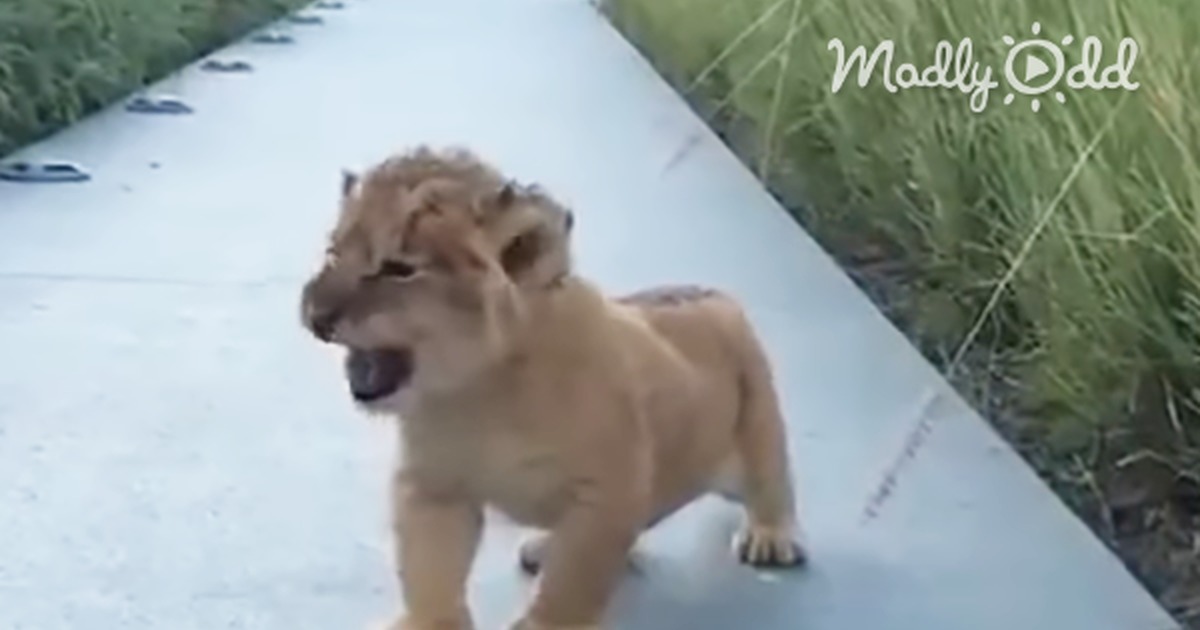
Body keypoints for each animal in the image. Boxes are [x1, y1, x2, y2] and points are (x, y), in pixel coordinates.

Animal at [298, 146, 807, 630]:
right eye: (334, 252)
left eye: (399, 269)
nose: (317, 318)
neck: (479, 393)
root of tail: (707, 291)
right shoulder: (432, 485)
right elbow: (429, 567)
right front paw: (429, 624)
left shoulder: (607, 489)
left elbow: (576, 575)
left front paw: (548, 624)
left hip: (756, 420)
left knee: (771, 481)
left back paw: (771, 537)